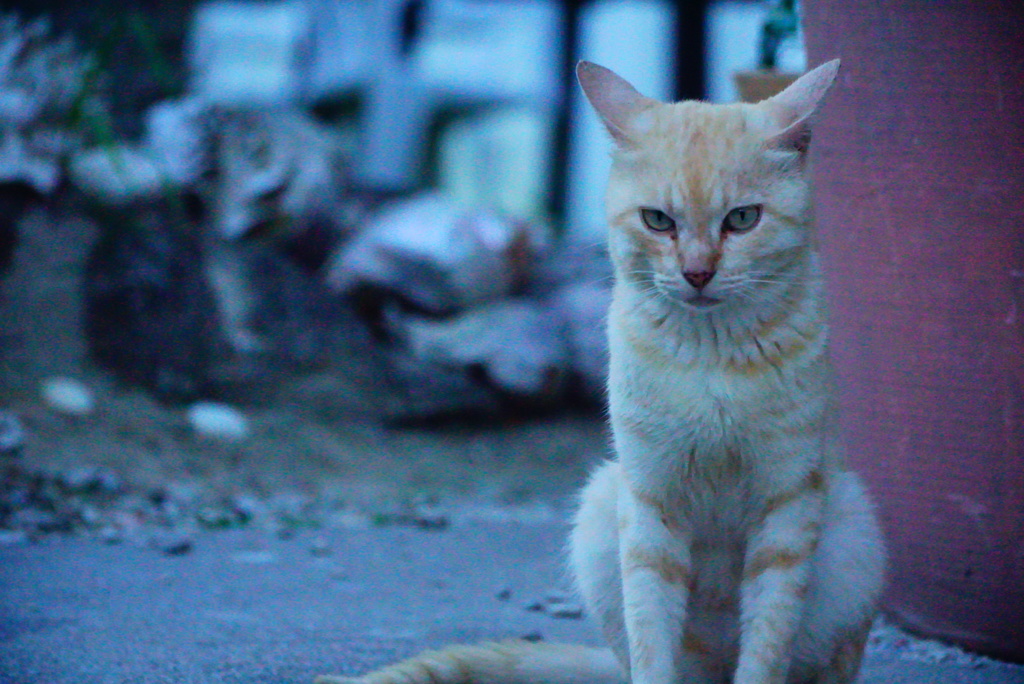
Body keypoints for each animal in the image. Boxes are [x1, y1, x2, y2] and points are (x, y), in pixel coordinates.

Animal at [315, 58, 884, 684]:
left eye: (742, 219)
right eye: (658, 221)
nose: (698, 273)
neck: (710, 357)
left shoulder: (785, 508)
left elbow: (765, 644)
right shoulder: (649, 502)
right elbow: (651, 632)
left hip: (855, 535)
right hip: (599, 506)